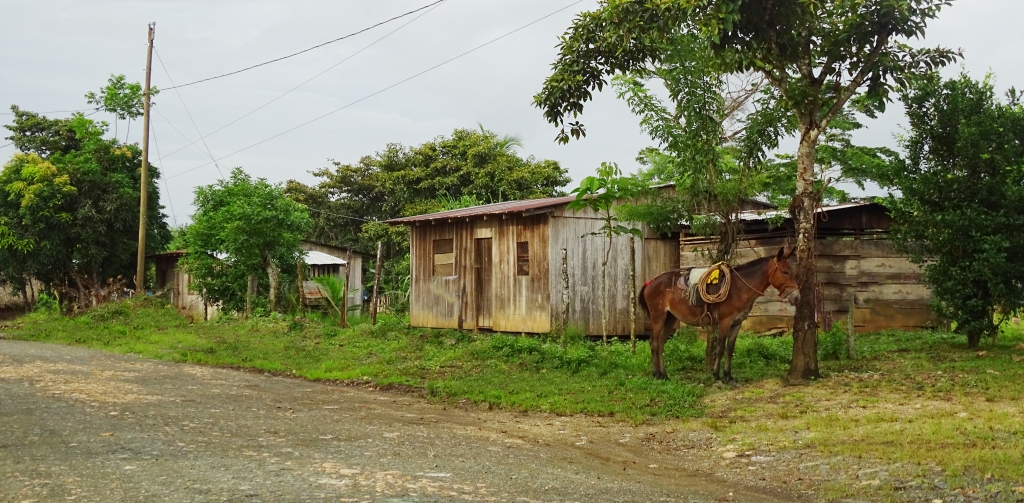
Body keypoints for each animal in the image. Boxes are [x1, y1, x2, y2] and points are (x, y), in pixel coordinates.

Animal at [638, 247, 798, 381]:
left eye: (792, 271)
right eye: (785, 272)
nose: (796, 297)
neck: (739, 288)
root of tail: (649, 282)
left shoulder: (737, 323)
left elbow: (730, 349)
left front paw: (729, 375)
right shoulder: (725, 322)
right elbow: (720, 348)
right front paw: (717, 375)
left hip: (669, 318)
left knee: (660, 344)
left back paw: (664, 375)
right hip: (658, 317)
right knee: (654, 343)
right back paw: (657, 374)